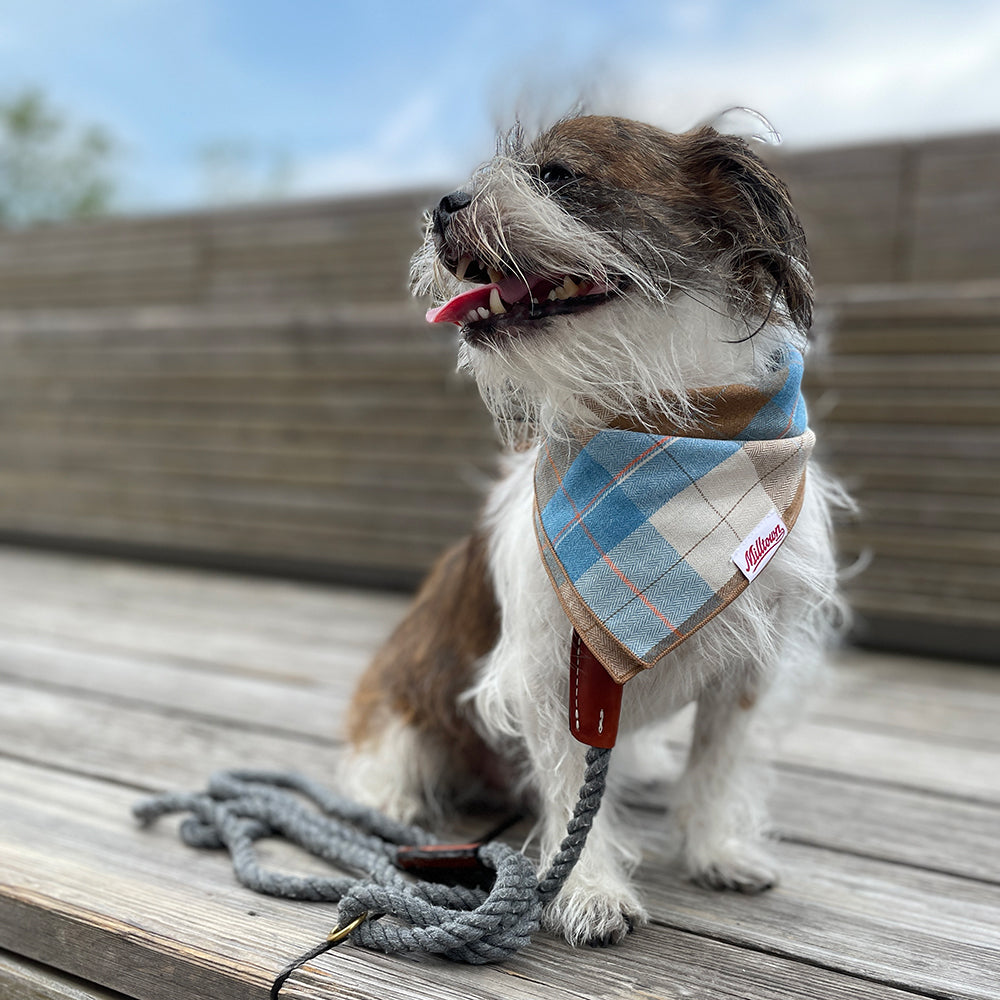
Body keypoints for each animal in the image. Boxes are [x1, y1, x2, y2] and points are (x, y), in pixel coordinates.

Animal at [342, 115, 844, 944]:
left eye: (556, 174)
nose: (446, 202)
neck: (663, 428)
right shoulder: (554, 670)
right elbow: (575, 780)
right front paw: (590, 889)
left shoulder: (749, 666)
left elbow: (717, 764)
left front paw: (715, 850)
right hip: (404, 697)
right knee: (386, 756)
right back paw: (386, 799)